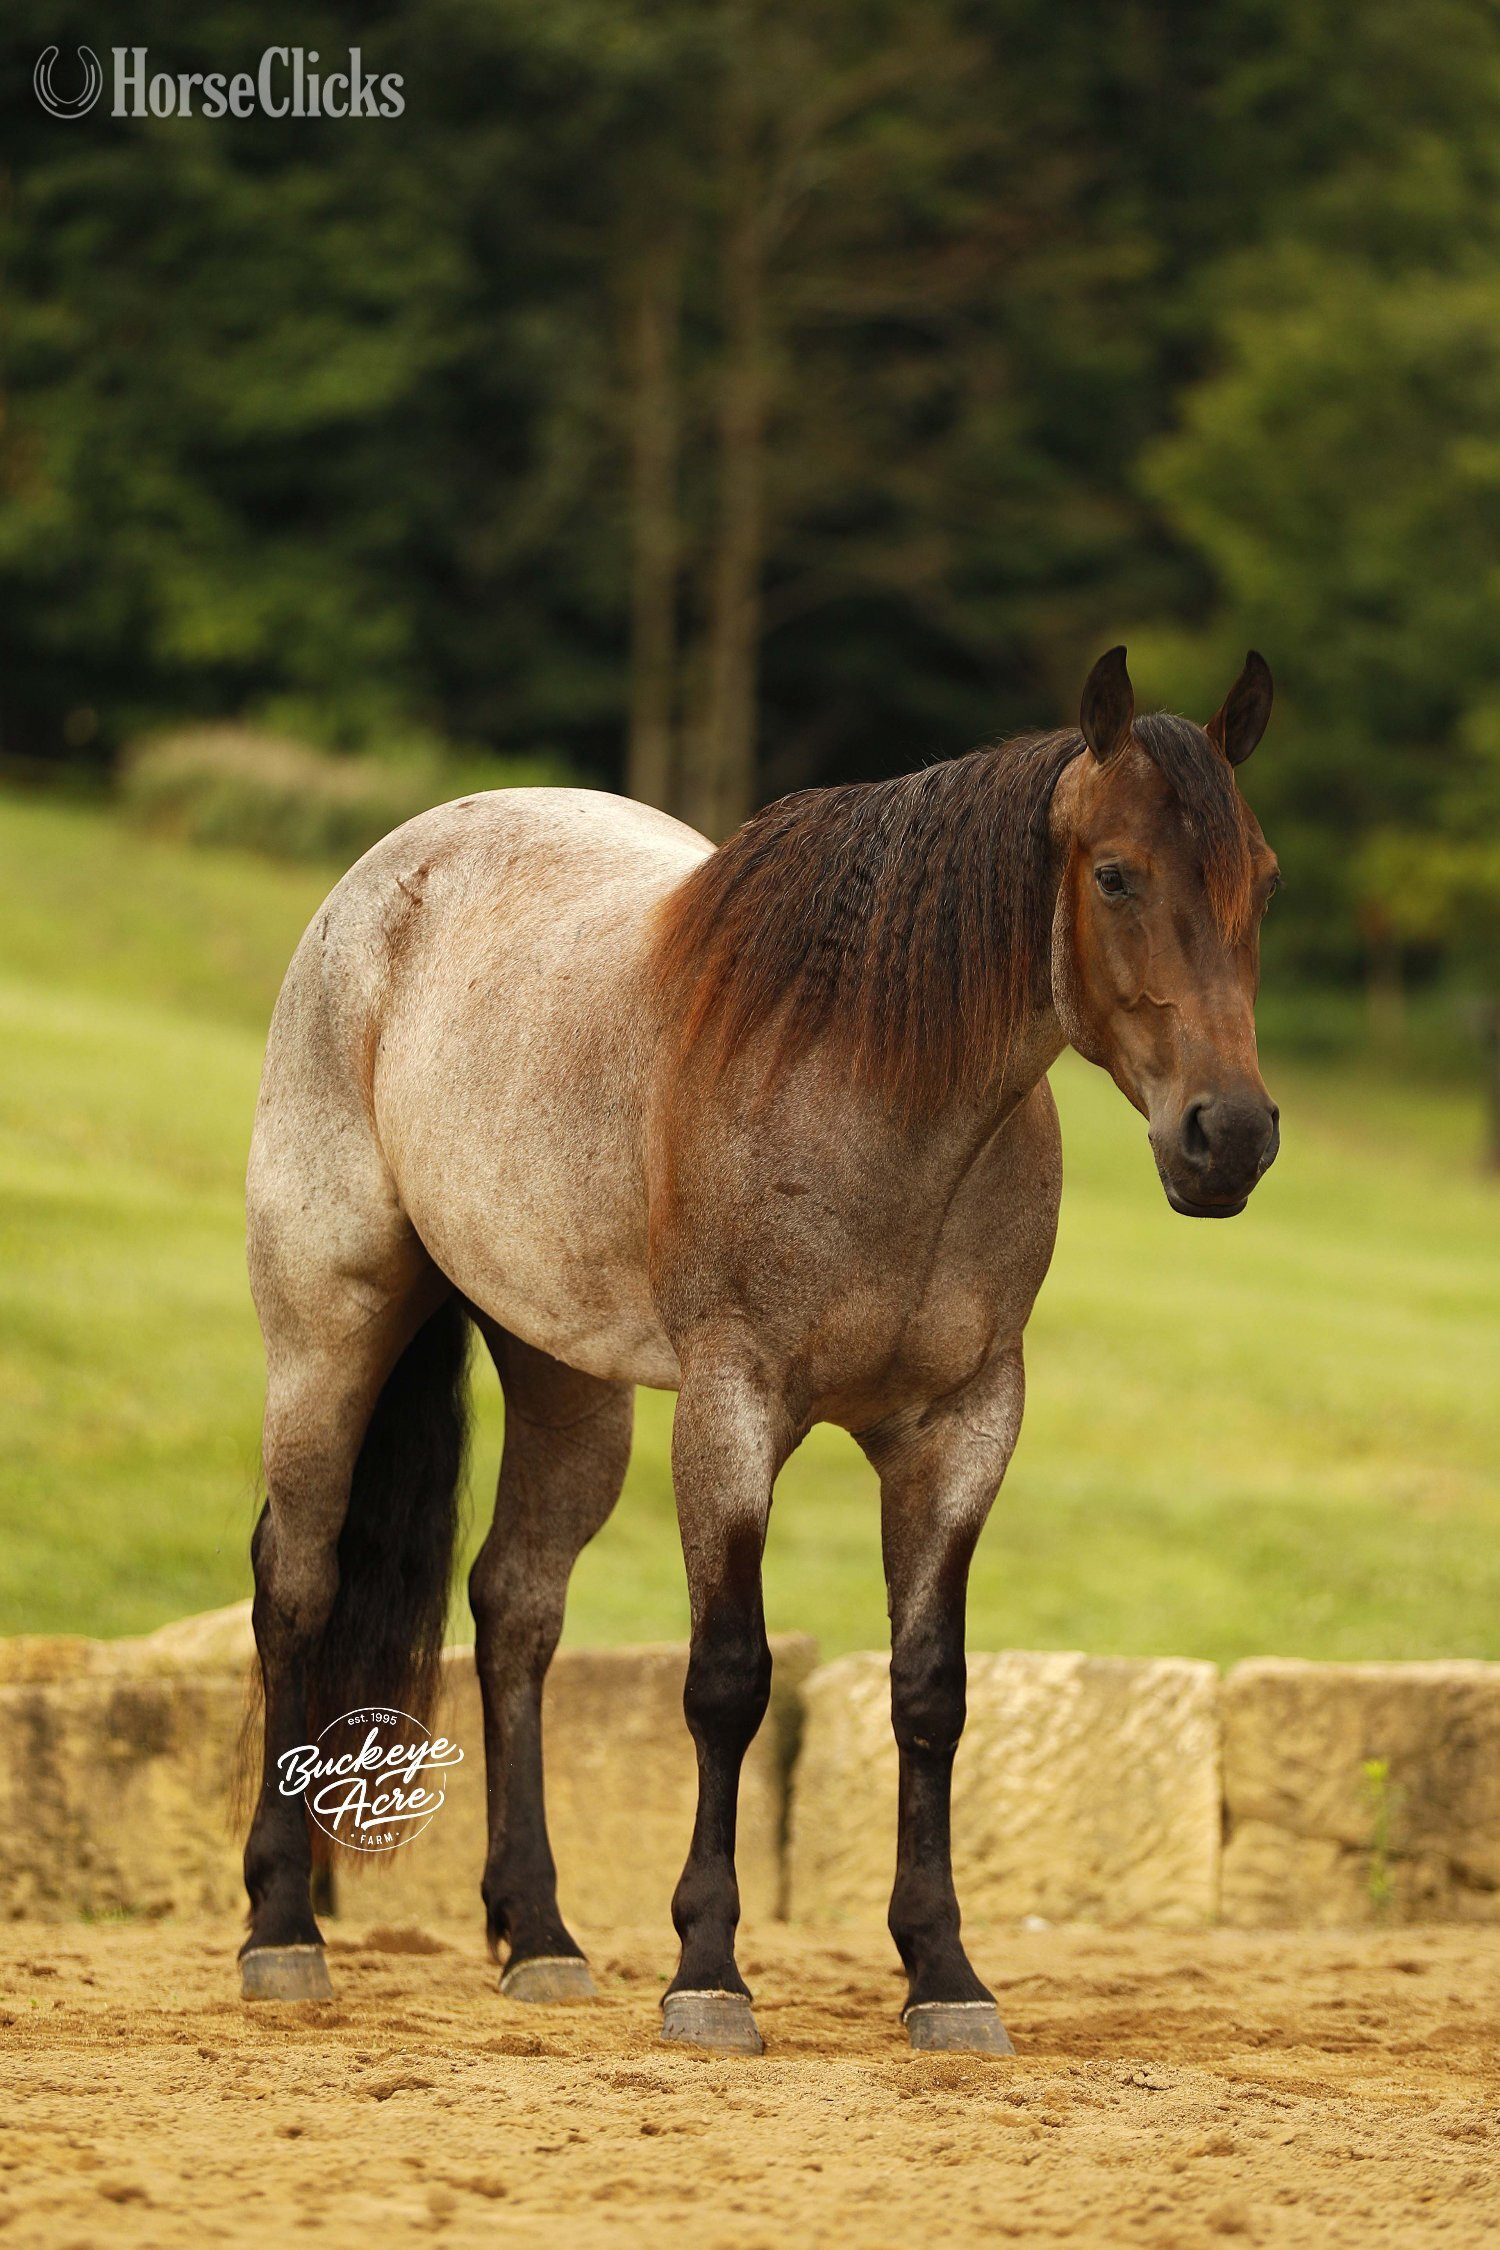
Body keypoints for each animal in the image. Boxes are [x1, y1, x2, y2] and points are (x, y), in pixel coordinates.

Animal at [239, 644, 1280, 2054]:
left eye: (1261, 878)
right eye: (1115, 874)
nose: (1231, 1137)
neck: (876, 1098)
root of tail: (392, 871)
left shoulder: (962, 1429)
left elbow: (930, 1692)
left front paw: (945, 1975)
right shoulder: (732, 1408)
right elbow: (728, 1679)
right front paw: (709, 1974)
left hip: (569, 1381)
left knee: (516, 1609)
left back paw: (542, 1938)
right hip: (329, 1323)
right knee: (296, 1582)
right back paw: (281, 1929)